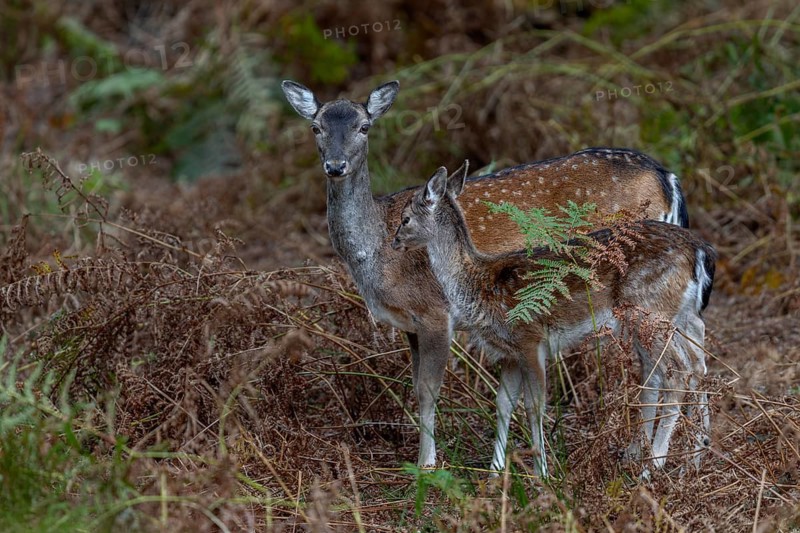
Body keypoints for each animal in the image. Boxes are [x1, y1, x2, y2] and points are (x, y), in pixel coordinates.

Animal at [391, 163, 716, 477]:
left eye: (405, 218)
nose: (394, 241)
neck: (478, 284)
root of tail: (701, 250)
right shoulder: (510, 353)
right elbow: (503, 403)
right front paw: (495, 474)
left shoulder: (531, 339)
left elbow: (535, 406)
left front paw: (543, 474)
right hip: (677, 316)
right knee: (692, 364)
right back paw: (689, 461)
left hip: (650, 312)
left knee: (676, 372)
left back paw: (653, 467)